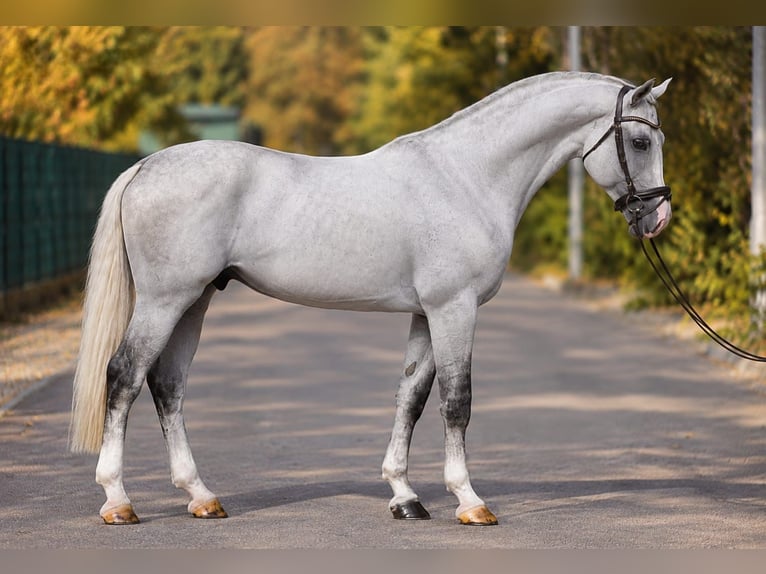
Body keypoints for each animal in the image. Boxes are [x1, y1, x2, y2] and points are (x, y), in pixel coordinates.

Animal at [70, 71, 672, 526]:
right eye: (641, 142)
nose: (658, 218)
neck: (465, 176)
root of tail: (146, 166)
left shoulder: (426, 314)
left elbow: (411, 398)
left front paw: (405, 497)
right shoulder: (454, 308)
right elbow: (457, 401)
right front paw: (470, 501)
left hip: (193, 302)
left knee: (167, 385)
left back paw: (200, 497)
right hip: (164, 300)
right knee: (123, 376)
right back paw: (118, 501)